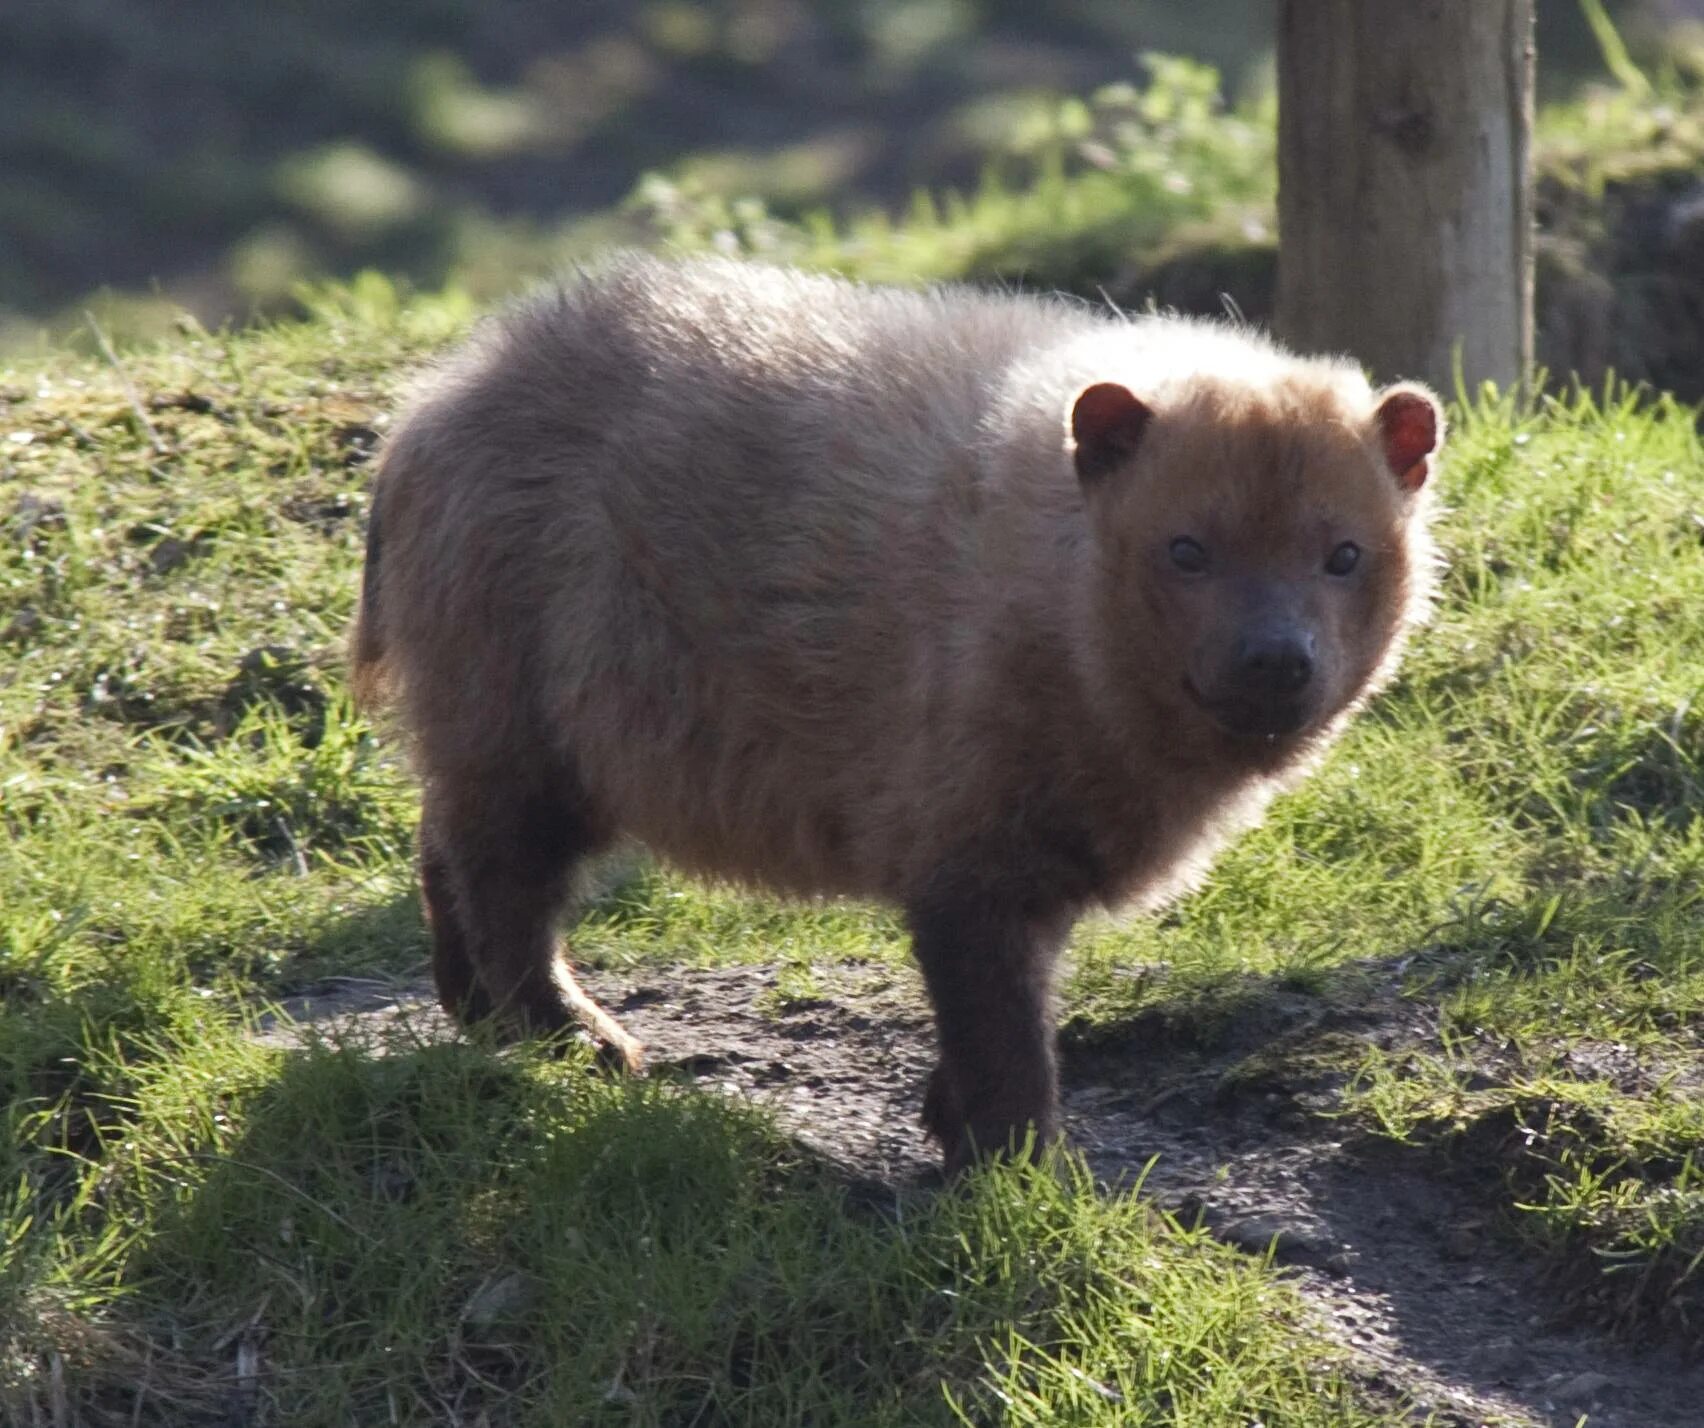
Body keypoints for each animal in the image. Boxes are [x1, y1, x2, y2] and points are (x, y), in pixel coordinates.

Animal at [352, 253, 1444, 1172]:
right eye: (1187, 548)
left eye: (1343, 554)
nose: (1274, 663)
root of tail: (428, 410)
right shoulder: (970, 806)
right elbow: (997, 1014)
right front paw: (1017, 1169)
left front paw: (955, 1124)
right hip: (533, 674)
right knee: (507, 866)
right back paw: (568, 1034)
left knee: (450, 828)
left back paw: (472, 1005)